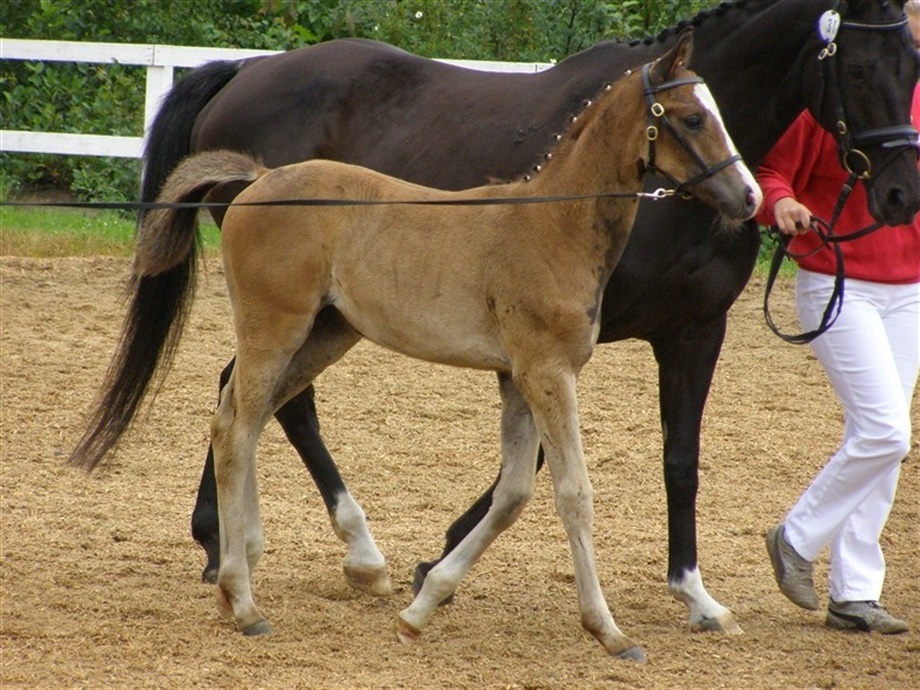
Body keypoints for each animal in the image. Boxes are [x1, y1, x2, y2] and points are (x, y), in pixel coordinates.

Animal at [71, 34, 760, 660]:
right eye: (692, 117)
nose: (749, 197)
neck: (551, 222)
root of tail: (260, 179)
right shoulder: (548, 371)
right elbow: (573, 494)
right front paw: (609, 632)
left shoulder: (515, 377)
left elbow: (513, 495)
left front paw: (421, 608)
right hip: (275, 328)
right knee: (237, 427)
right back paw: (245, 598)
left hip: (325, 334)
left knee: (247, 417)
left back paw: (248, 569)